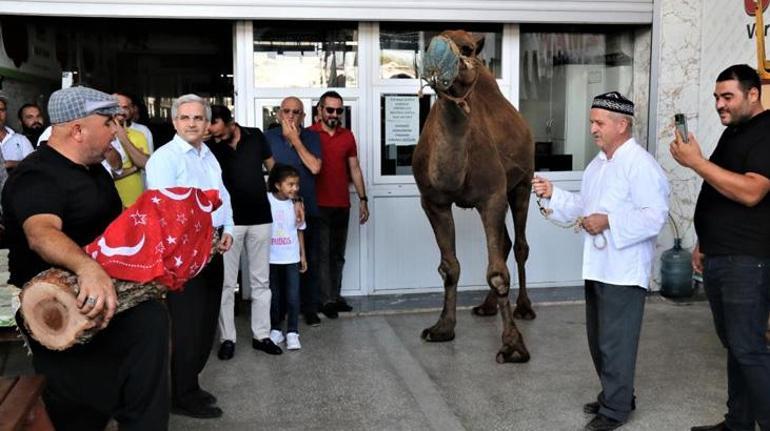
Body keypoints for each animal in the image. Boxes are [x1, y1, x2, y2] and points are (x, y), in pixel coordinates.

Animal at [414, 29, 536, 364]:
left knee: (519, 246)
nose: (439, 56)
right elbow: (449, 267)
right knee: (505, 244)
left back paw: (524, 308)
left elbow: (497, 272)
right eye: (429, 44)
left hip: (523, 183)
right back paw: (487, 306)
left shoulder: (492, 196)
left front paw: (513, 346)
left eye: (467, 49)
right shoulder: (433, 202)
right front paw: (442, 327)